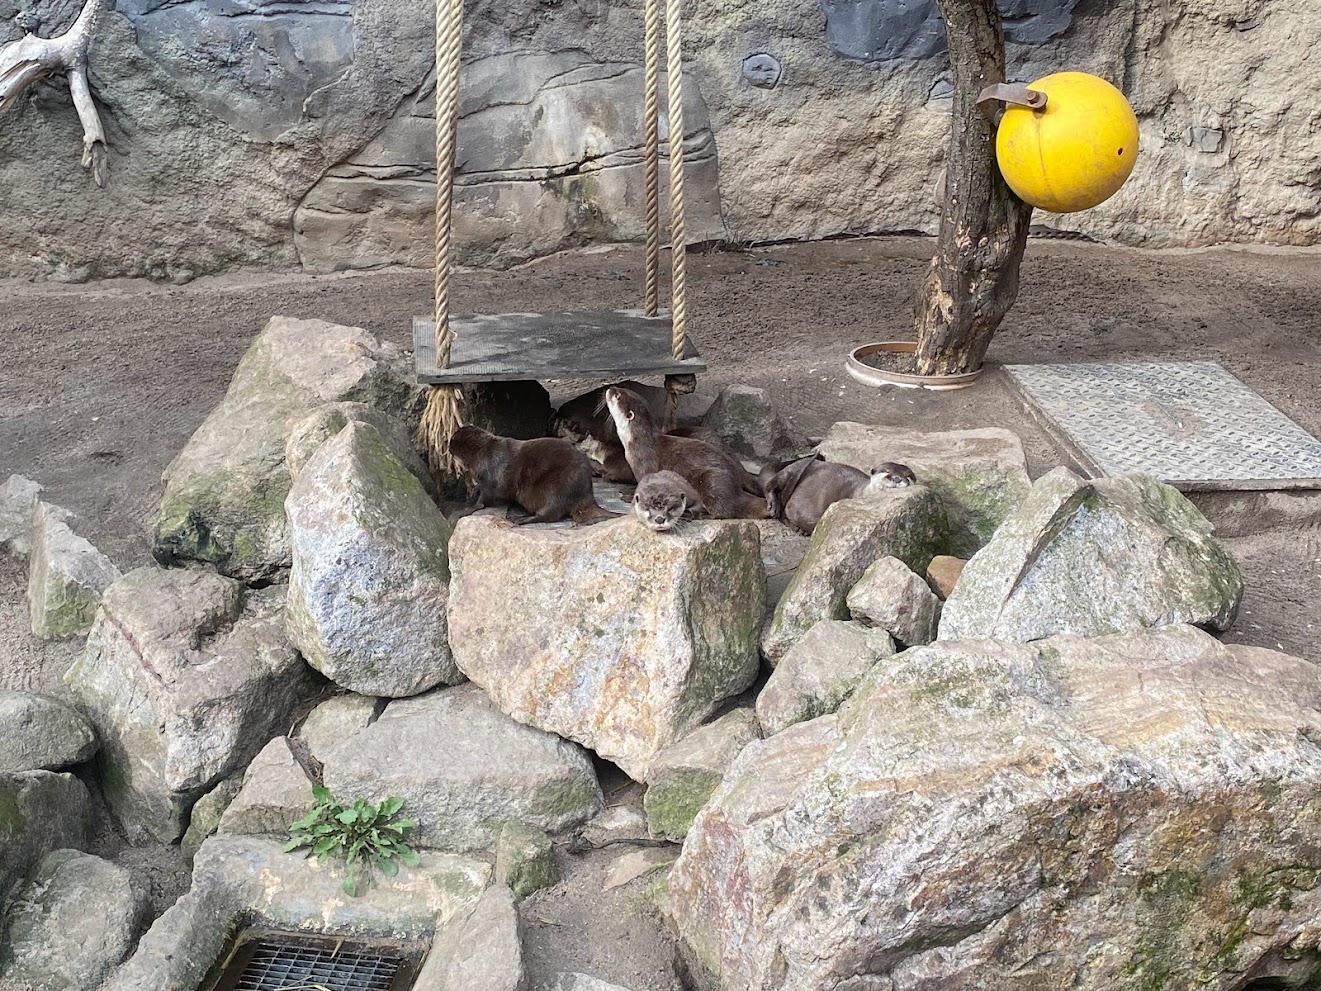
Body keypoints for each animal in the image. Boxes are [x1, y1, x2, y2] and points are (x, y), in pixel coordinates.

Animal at [449, 425, 616, 525]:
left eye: (450, 445)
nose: (448, 448)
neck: (482, 452)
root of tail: (586, 493)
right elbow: (480, 487)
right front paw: (472, 492)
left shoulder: (492, 475)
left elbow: (486, 497)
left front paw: (469, 508)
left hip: (557, 487)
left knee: (549, 514)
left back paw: (518, 519)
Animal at [605, 386, 769, 520]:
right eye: (622, 389)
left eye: (617, 396)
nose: (610, 388)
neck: (637, 442)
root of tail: (737, 489)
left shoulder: (644, 464)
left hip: (711, 480)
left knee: (725, 511)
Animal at [761, 454, 917, 535]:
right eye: (886, 471)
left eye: (908, 476)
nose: (897, 479)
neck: (859, 493)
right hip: (791, 470)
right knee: (770, 486)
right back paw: (774, 507)